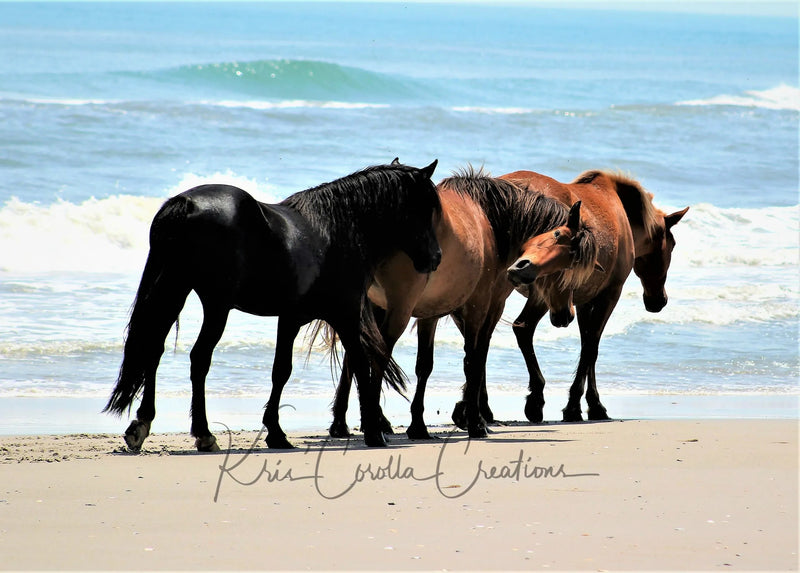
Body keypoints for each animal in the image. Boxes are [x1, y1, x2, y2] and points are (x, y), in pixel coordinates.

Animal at [103, 159, 442, 451]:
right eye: (424, 208)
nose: (435, 258)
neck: (338, 231)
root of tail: (185, 204)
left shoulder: (291, 318)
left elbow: (281, 371)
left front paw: (276, 432)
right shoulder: (344, 314)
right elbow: (359, 364)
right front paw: (373, 430)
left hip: (174, 289)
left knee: (153, 349)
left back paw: (141, 425)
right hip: (215, 304)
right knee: (198, 358)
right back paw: (204, 434)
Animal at [328, 167, 599, 440]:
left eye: (569, 266)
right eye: (557, 236)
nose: (565, 315)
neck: (489, 220)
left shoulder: (433, 311)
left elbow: (426, 365)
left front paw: (423, 424)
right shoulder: (483, 306)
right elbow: (476, 358)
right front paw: (475, 420)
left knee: (355, 355)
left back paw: (344, 423)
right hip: (395, 310)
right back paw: (373, 425)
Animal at [502, 169, 689, 423]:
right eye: (673, 245)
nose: (659, 301)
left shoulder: (584, 302)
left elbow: (587, 344)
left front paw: (589, 404)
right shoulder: (609, 295)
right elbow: (591, 347)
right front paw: (579, 406)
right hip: (542, 296)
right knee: (523, 327)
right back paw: (535, 401)